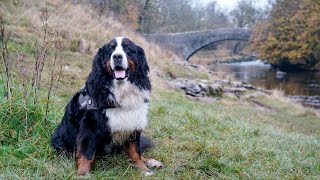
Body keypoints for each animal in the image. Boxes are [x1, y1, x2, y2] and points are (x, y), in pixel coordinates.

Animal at [52, 36, 164, 176]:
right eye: (110, 49)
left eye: (127, 48)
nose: (117, 57)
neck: (120, 90)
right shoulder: (90, 126)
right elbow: (87, 153)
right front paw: (83, 173)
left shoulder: (133, 122)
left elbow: (135, 152)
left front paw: (143, 169)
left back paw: (151, 162)